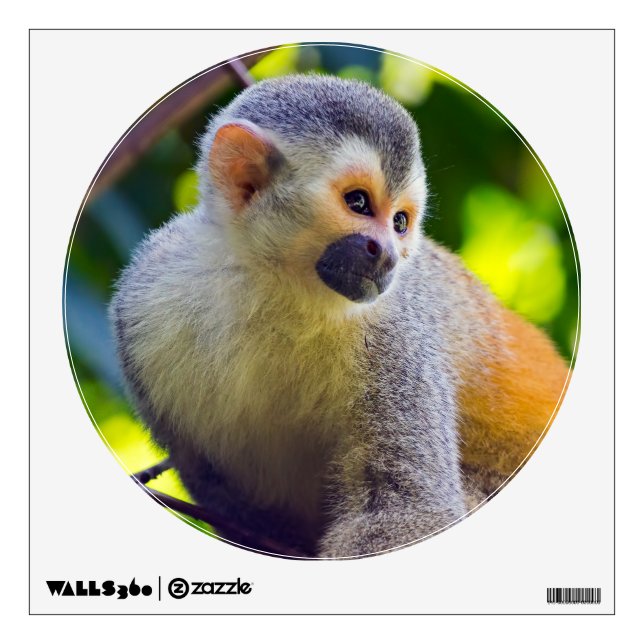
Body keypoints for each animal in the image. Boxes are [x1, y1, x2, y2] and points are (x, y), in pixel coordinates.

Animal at [109, 74, 570, 558]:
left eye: (400, 222)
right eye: (359, 203)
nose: (387, 256)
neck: (276, 285)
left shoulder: (394, 333)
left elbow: (407, 507)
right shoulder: (144, 300)